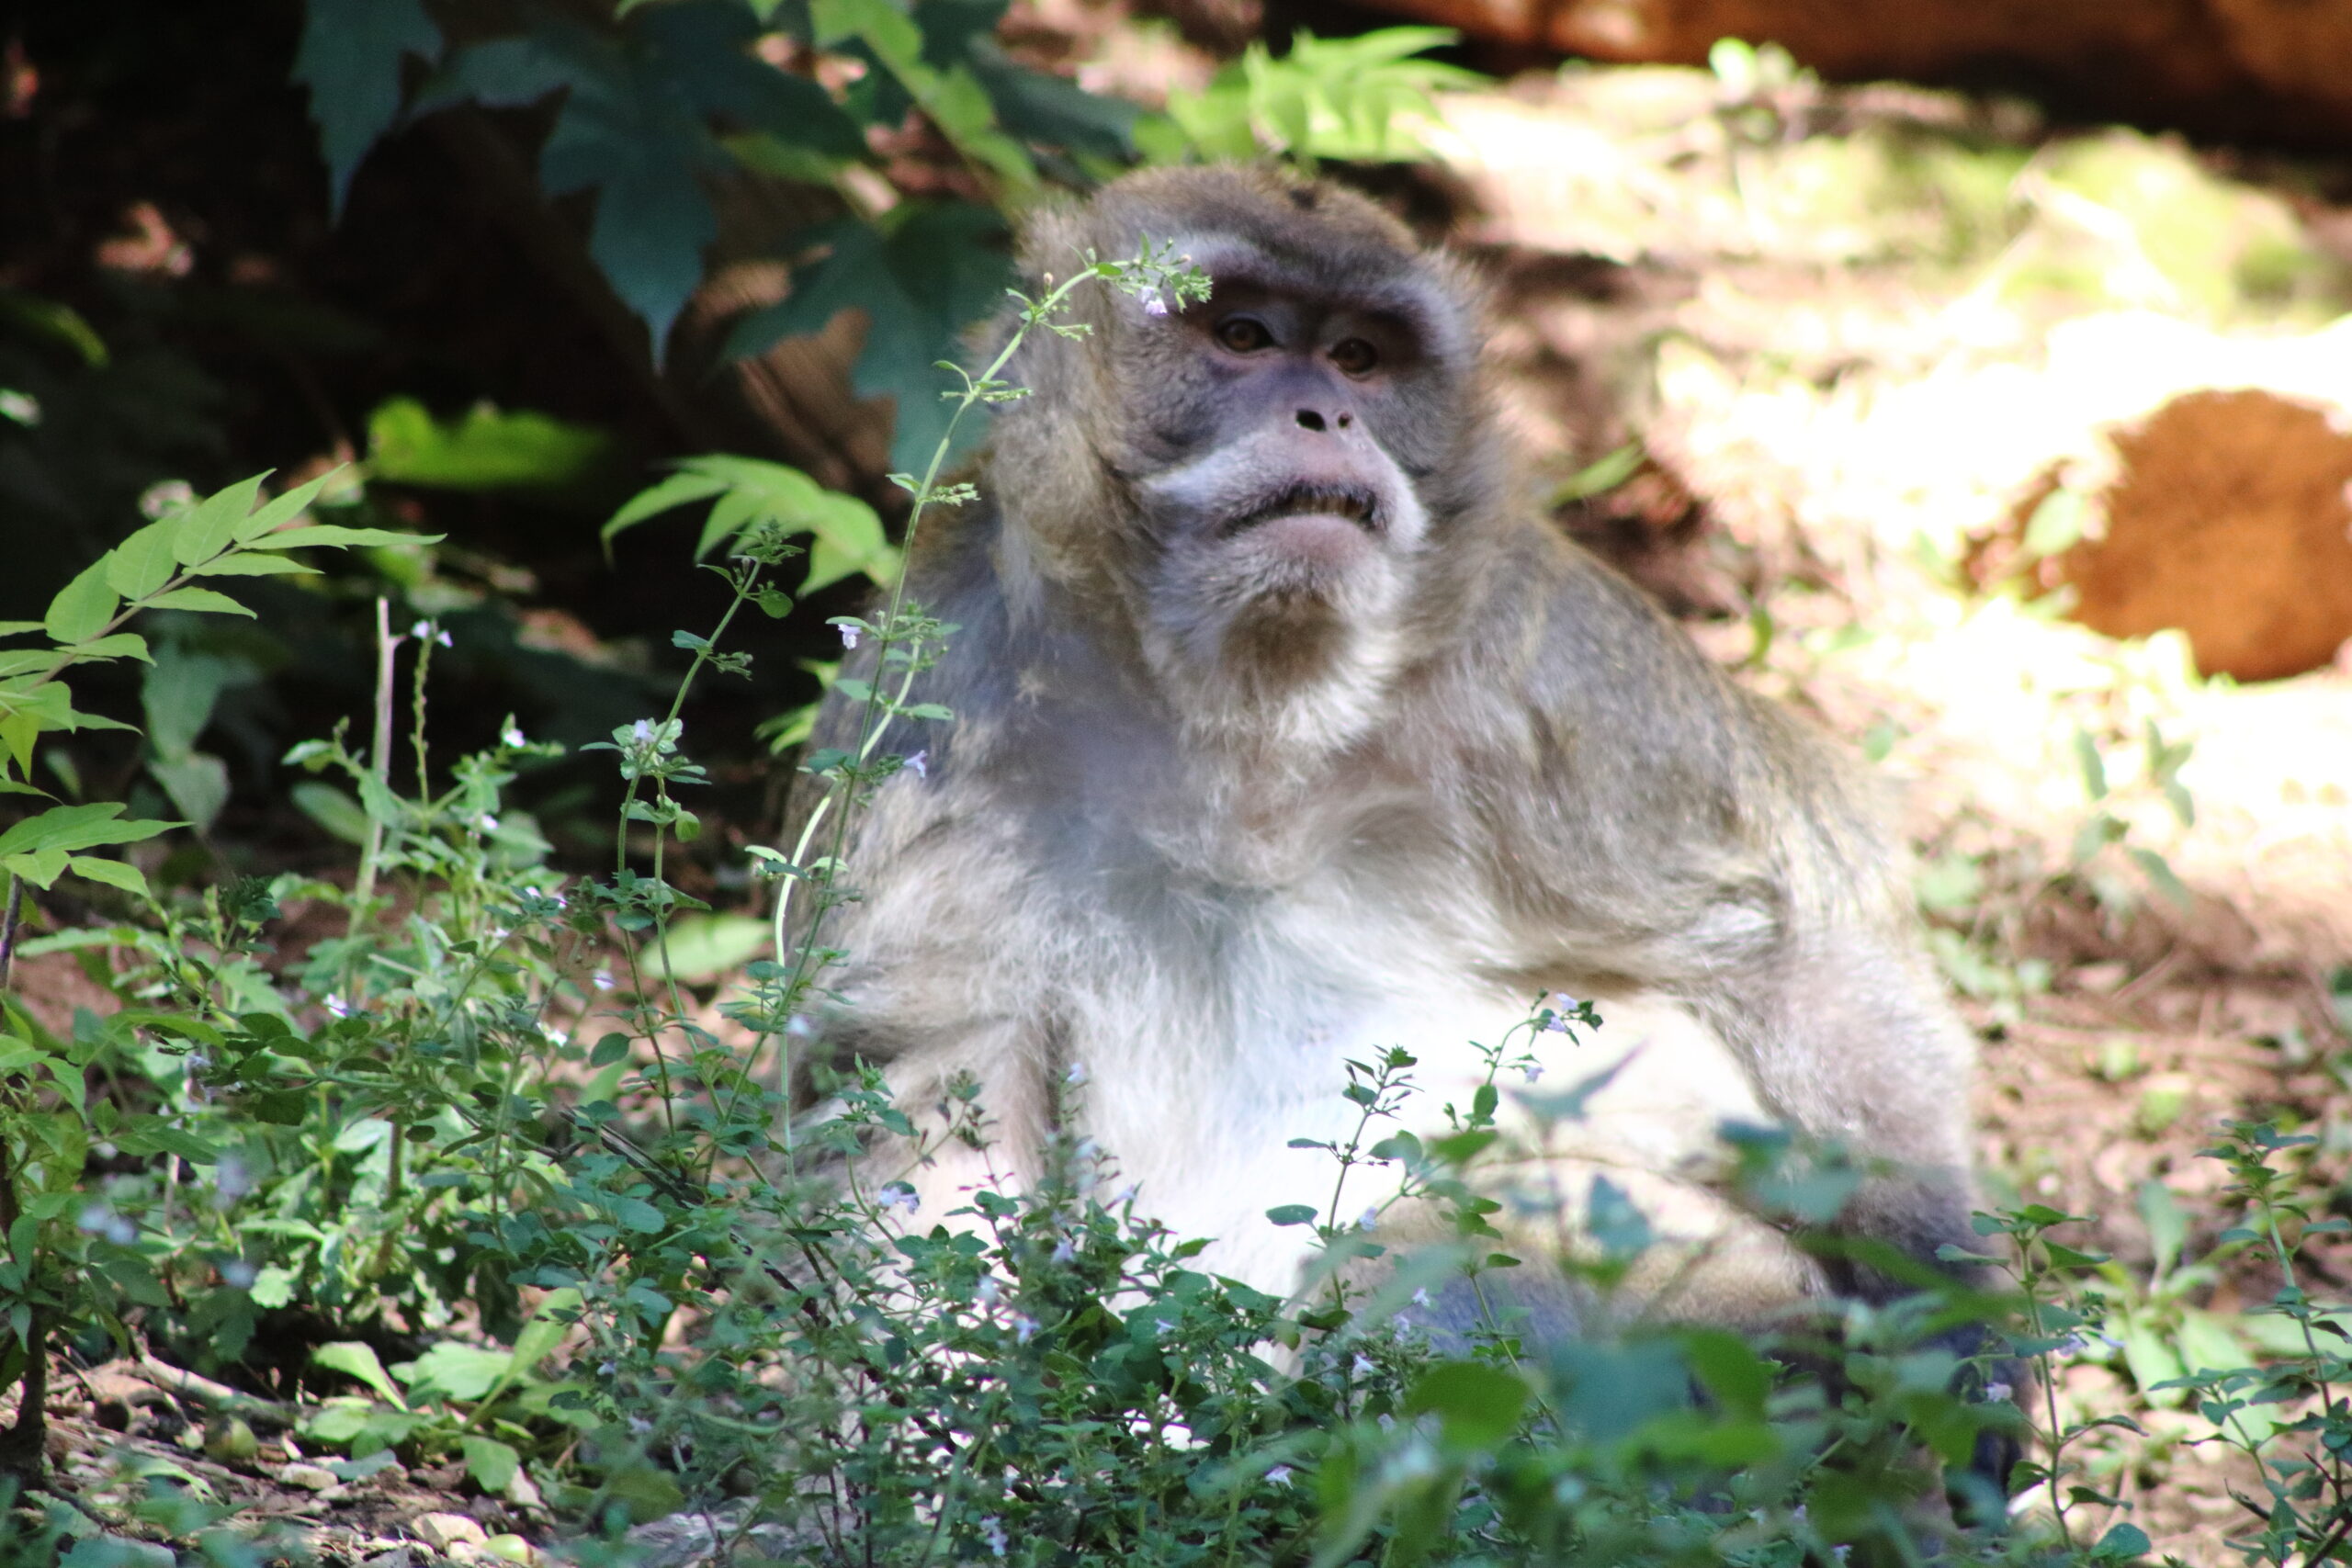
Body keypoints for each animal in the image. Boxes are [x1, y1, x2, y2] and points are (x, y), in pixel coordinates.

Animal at [799, 169, 2013, 1476]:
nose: (1327, 416)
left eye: (1361, 358)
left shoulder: (1545, 665)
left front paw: (1950, 1319)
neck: (1247, 717)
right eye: (1242, 336)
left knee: (1446, 1241)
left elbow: (1793, 917)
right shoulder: (932, 691)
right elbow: (918, 1087)